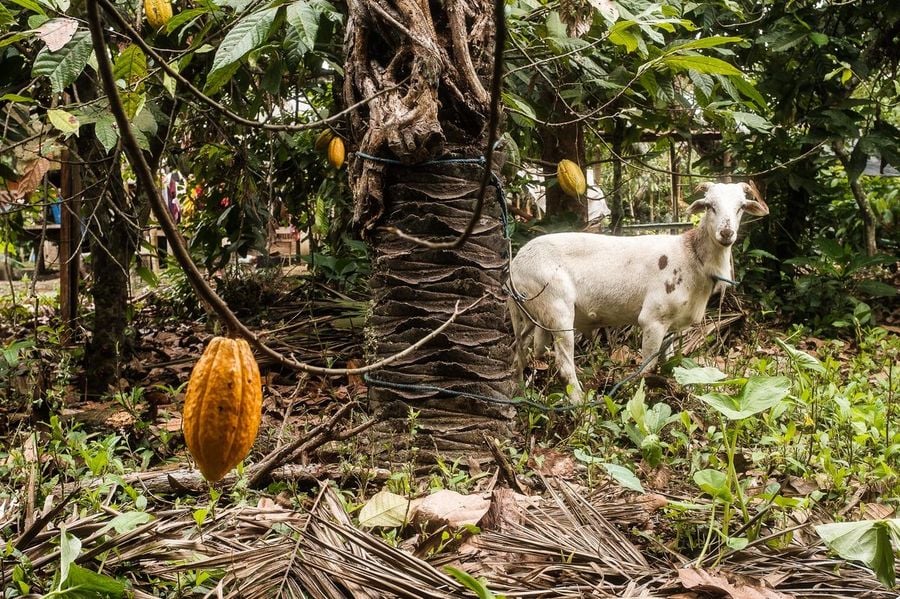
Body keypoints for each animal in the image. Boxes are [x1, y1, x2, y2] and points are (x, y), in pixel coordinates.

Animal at [510, 180, 768, 400]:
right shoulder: (652, 320)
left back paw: (519, 394)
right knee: (564, 367)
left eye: (741, 207)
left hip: (529, 315)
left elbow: (667, 362)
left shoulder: (671, 325)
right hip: (557, 310)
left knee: (518, 353)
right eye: (709, 206)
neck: (691, 256)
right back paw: (581, 408)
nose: (726, 233)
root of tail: (515, 266)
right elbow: (647, 369)